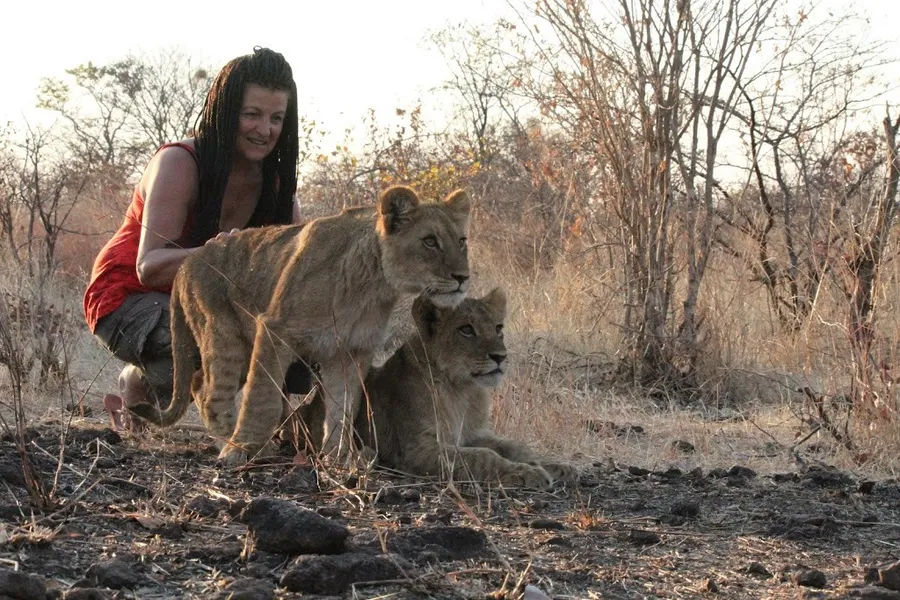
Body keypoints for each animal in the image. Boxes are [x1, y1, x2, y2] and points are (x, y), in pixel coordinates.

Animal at [129, 185, 471, 464]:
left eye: (462, 241)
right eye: (430, 242)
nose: (463, 277)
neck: (372, 286)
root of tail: (187, 263)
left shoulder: (351, 351)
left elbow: (343, 408)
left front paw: (339, 457)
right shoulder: (274, 330)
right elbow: (263, 399)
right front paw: (244, 448)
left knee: (199, 383)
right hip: (225, 338)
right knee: (212, 393)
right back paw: (235, 447)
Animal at [306, 288, 579, 489]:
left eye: (498, 328)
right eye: (466, 329)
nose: (500, 357)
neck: (462, 389)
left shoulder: (470, 434)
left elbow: (513, 446)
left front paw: (552, 465)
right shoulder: (416, 449)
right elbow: (481, 456)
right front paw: (528, 472)